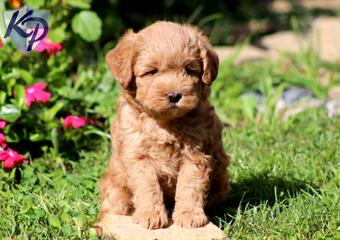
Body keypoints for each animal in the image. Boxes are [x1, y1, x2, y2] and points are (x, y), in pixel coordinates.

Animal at [98, 21, 231, 230]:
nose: (175, 95)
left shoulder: (197, 155)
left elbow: (190, 186)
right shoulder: (137, 156)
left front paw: (189, 215)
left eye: (190, 70)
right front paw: (150, 215)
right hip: (115, 183)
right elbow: (147, 186)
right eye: (151, 72)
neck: (165, 124)